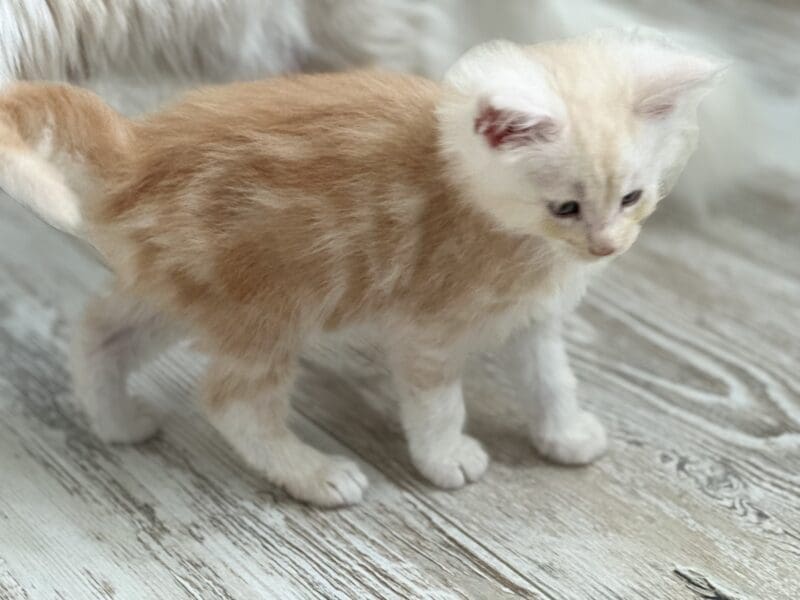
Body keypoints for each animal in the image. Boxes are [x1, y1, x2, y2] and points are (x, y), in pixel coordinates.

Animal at [0, 29, 724, 506]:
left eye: (632, 198)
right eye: (566, 207)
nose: (607, 247)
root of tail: (137, 146)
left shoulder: (532, 315)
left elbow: (551, 378)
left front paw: (565, 435)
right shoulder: (427, 326)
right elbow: (438, 402)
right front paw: (445, 459)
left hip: (181, 287)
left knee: (100, 331)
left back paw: (116, 423)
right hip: (267, 304)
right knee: (233, 401)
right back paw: (314, 474)